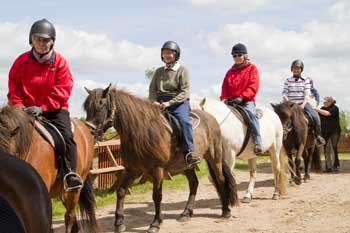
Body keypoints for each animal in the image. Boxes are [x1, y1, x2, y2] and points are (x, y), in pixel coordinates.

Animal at [83, 84, 239, 233]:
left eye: (100, 106)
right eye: (87, 108)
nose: (89, 133)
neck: (143, 132)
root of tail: (211, 118)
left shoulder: (157, 170)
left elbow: (157, 195)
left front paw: (155, 223)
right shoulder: (131, 169)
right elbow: (121, 191)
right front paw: (119, 223)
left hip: (215, 157)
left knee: (220, 179)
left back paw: (225, 211)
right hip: (185, 165)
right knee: (194, 183)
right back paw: (186, 213)